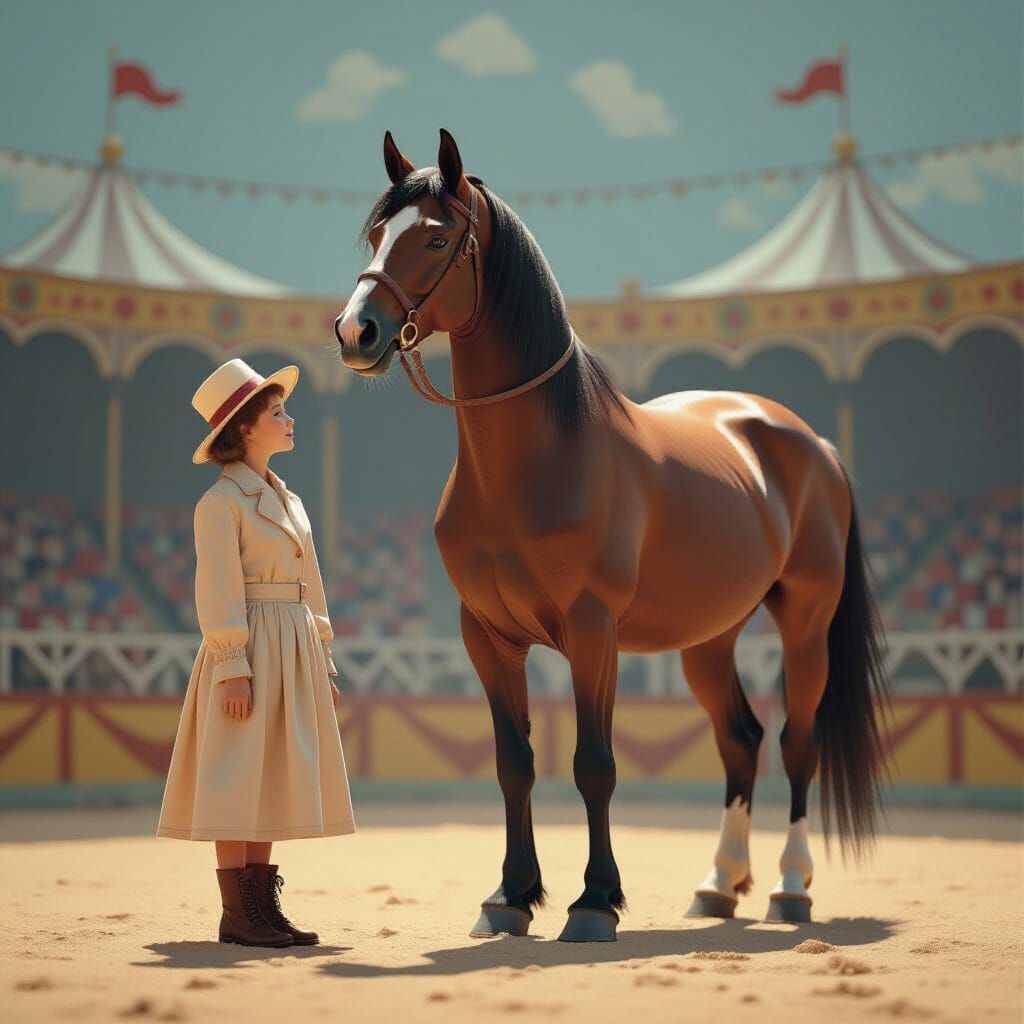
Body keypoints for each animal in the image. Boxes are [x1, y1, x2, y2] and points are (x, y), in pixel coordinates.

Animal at [334, 129, 890, 943]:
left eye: (435, 237)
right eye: (376, 236)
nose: (356, 333)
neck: (537, 464)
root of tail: (809, 440)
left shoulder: (593, 633)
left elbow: (594, 763)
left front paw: (594, 902)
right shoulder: (486, 636)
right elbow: (513, 762)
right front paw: (509, 897)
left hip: (806, 623)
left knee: (797, 742)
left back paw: (791, 889)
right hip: (708, 639)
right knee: (741, 740)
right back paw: (719, 886)